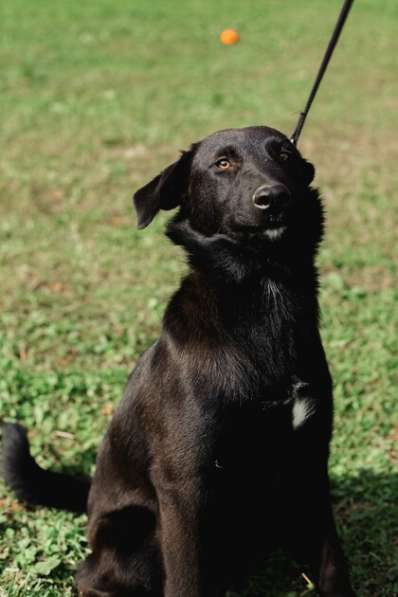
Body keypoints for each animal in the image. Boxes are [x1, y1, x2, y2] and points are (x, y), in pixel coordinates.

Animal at [2, 127, 358, 596]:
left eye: (285, 153)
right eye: (223, 163)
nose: (274, 197)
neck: (264, 290)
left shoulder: (309, 460)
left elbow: (332, 561)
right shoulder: (185, 484)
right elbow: (188, 578)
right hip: (142, 533)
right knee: (91, 575)